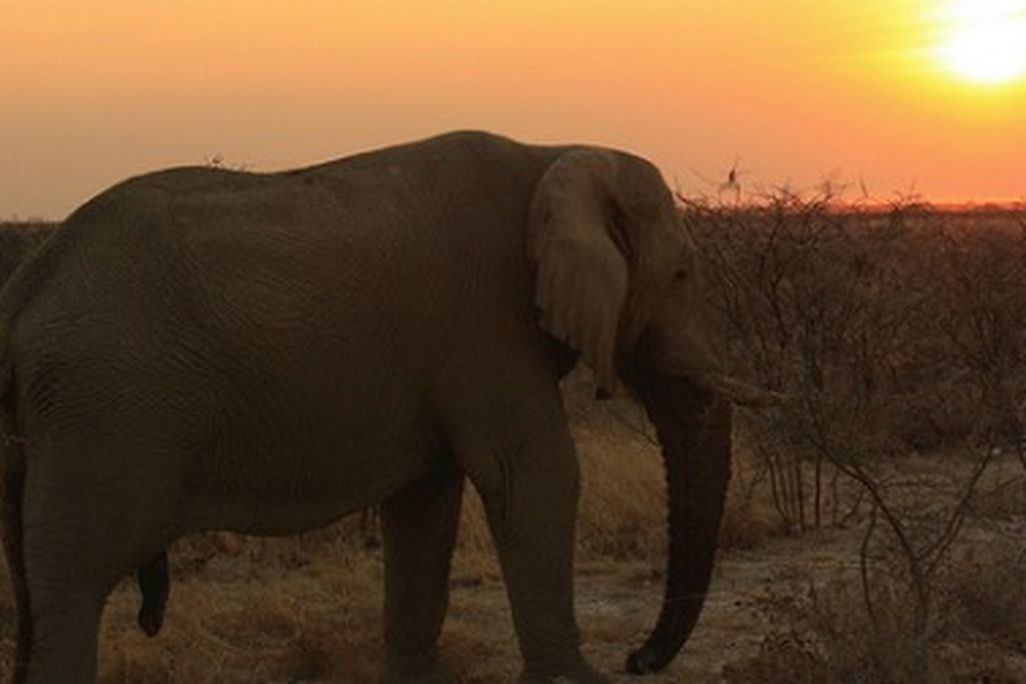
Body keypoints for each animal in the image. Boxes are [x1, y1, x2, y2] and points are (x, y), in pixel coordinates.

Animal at [0, 130, 771, 683]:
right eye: (682, 275)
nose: (638, 660)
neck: (554, 152)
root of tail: (25, 292)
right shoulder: (486, 323)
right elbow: (533, 474)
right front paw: (576, 679)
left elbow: (426, 501)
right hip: (104, 408)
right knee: (74, 587)